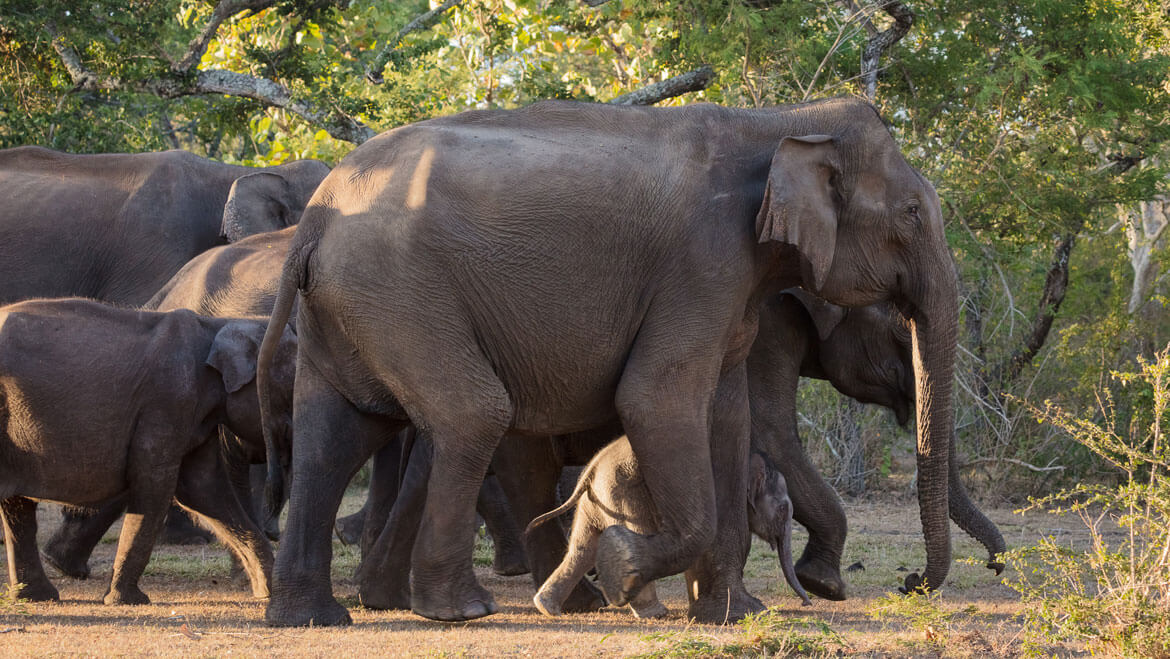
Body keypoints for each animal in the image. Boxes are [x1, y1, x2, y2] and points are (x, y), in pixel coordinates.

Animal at [0, 299, 297, 608]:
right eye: (292, 390)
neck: (216, 325)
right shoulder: (167, 403)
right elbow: (156, 486)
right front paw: (128, 600)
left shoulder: (195, 418)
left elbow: (203, 489)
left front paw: (269, 591)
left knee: (16, 508)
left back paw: (36, 597)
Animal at [526, 437, 809, 618]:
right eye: (782, 509)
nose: (807, 602)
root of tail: (592, 470)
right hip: (622, 494)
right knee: (630, 533)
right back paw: (655, 613)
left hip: (597, 499)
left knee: (583, 549)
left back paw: (547, 608)